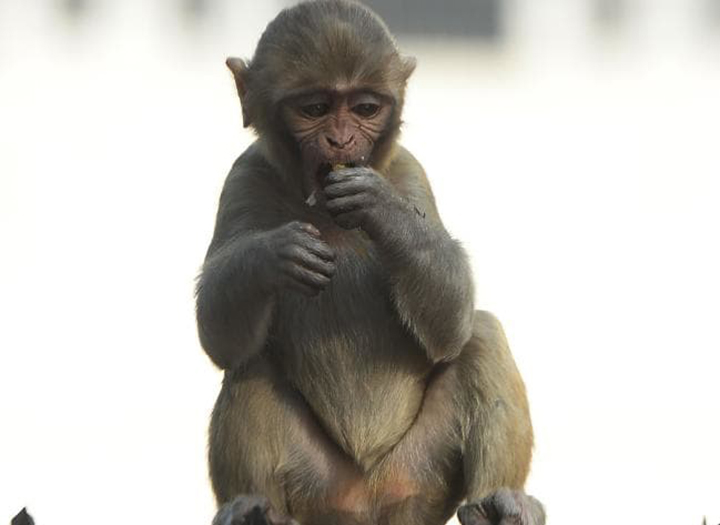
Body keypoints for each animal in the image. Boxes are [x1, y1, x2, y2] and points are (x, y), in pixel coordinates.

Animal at [195, 1, 544, 524]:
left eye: (364, 109)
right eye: (316, 109)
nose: (341, 142)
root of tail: (364, 503)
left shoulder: (407, 172)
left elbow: (451, 325)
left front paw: (381, 211)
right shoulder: (244, 177)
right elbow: (219, 336)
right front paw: (274, 254)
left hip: (419, 478)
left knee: (481, 332)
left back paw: (498, 498)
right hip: (317, 483)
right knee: (248, 365)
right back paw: (253, 505)